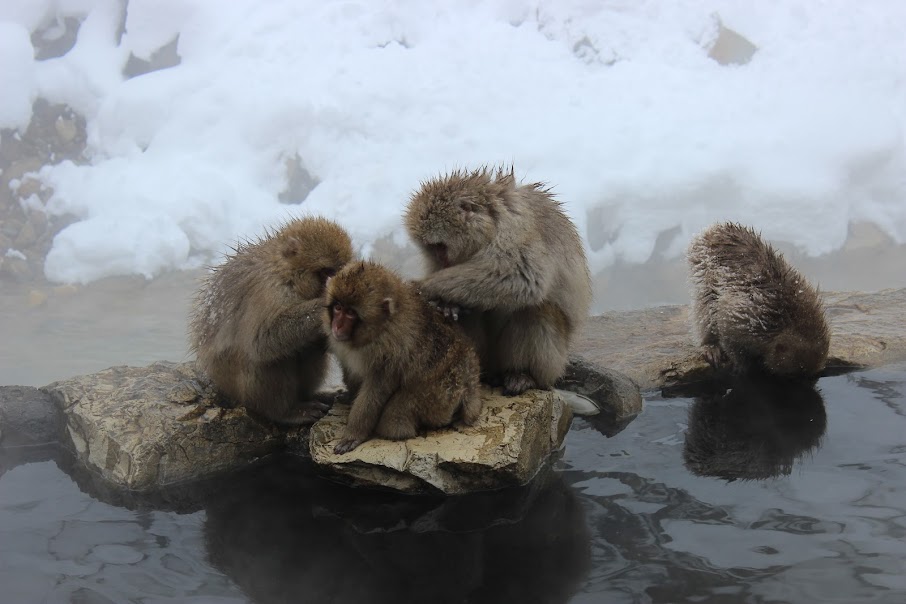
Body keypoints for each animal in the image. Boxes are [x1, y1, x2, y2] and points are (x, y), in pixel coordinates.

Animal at [191, 217, 354, 424]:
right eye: (327, 272)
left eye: (340, 271)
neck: (286, 272)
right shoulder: (268, 290)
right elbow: (263, 340)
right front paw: (324, 302)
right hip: (243, 391)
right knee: (264, 359)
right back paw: (285, 412)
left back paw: (310, 395)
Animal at [324, 260, 480, 452]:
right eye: (338, 308)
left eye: (351, 313)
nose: (337, 326)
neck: (379, 330)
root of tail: (472, 384)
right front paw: (350, 396)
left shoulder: (391, 352)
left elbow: (376, 390)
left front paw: (354, 433)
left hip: (444, 393)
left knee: (394, 415)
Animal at [404, 168, 592, 398]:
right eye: (431, 248)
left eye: (440, 245)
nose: (442, 260)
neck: (488, 227)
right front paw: (444, 303)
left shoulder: (514, 227)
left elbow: (524, 278)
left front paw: (425, 287)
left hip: (554, 364)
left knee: (536, 311)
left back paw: (522, 375)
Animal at [684, 222, 828, 376]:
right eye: (794, 375)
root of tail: (715, 228)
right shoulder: (749, 318)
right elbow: (725, 321)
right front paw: (742, 363)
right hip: (702, 263)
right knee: (706, 302)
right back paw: (710, 345)